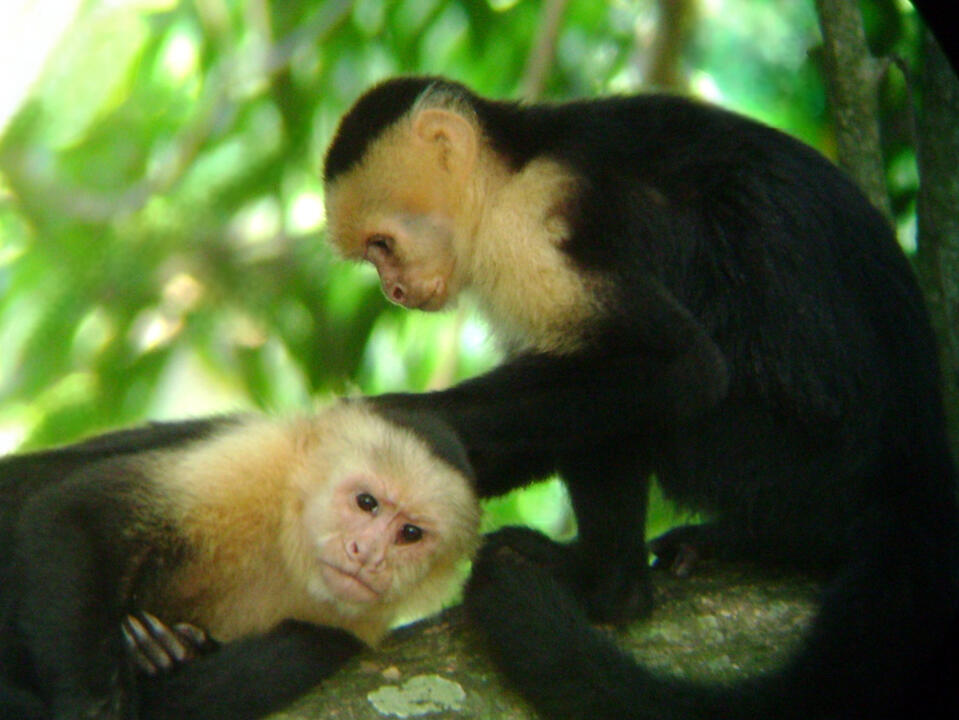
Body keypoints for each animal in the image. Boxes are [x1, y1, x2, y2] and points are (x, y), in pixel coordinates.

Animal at [0, 399, 480, 720]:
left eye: (410, 534)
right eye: (366, 503)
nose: (367, 554)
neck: (288, 556)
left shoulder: (352, 621)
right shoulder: (254, 467)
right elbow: (74, 515)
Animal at [321, 76, 959, 719]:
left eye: (383, 244)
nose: (394, 292)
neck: (515, 166)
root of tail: (912, 466)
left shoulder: (528, 231)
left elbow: (681, 365)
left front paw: (400, 416)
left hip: (767, 453)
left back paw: (609, 587)